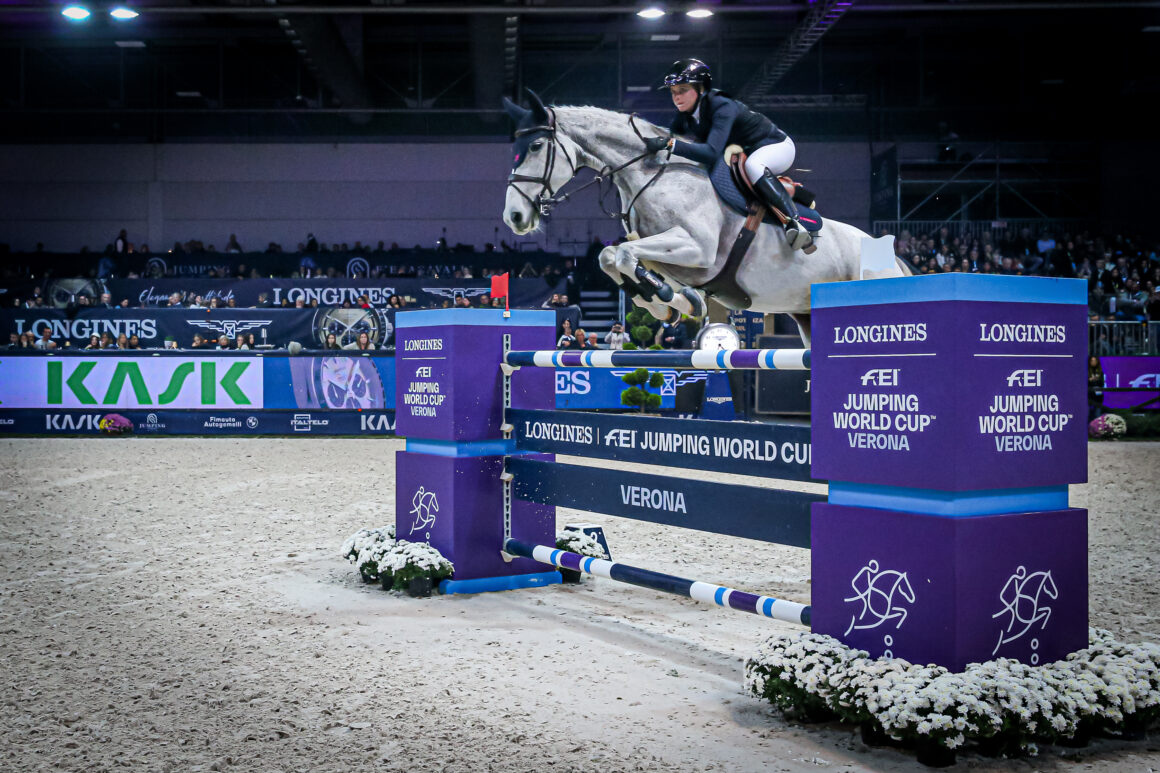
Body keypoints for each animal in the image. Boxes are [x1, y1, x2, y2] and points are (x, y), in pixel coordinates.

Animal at [503, 90, 909, 343]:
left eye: (535, 146)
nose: (514, 217)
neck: (653, 173)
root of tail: (893, 257)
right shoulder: (667, 253)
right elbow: (613, 256)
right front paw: (673, 302)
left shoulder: (698, 249)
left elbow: (621, 255)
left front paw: (667, 297)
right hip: (806, 317)